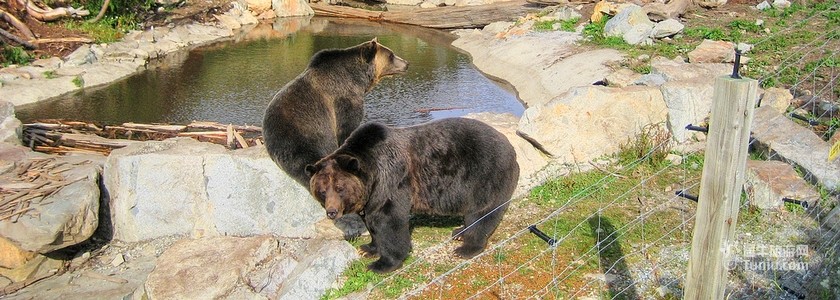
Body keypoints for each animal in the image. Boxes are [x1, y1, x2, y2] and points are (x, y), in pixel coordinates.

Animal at [262, 38, 406, 239]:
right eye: (391, 55)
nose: (406, 63)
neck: (358, 79)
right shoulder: (343, 99)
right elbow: (348, 128)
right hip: (306, 140)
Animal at [306, 118, 520, 274]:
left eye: (340, 188)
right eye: (322, 190)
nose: (332, 212)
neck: (372, 174)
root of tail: (510, 145)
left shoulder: (392, 179)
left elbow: (389, 221)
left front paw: (383, 263)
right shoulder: (371, 197)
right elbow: (371, 222)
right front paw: (368, 247)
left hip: (485, 172)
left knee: (481, 211)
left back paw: (467, 247)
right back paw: (459, 231)